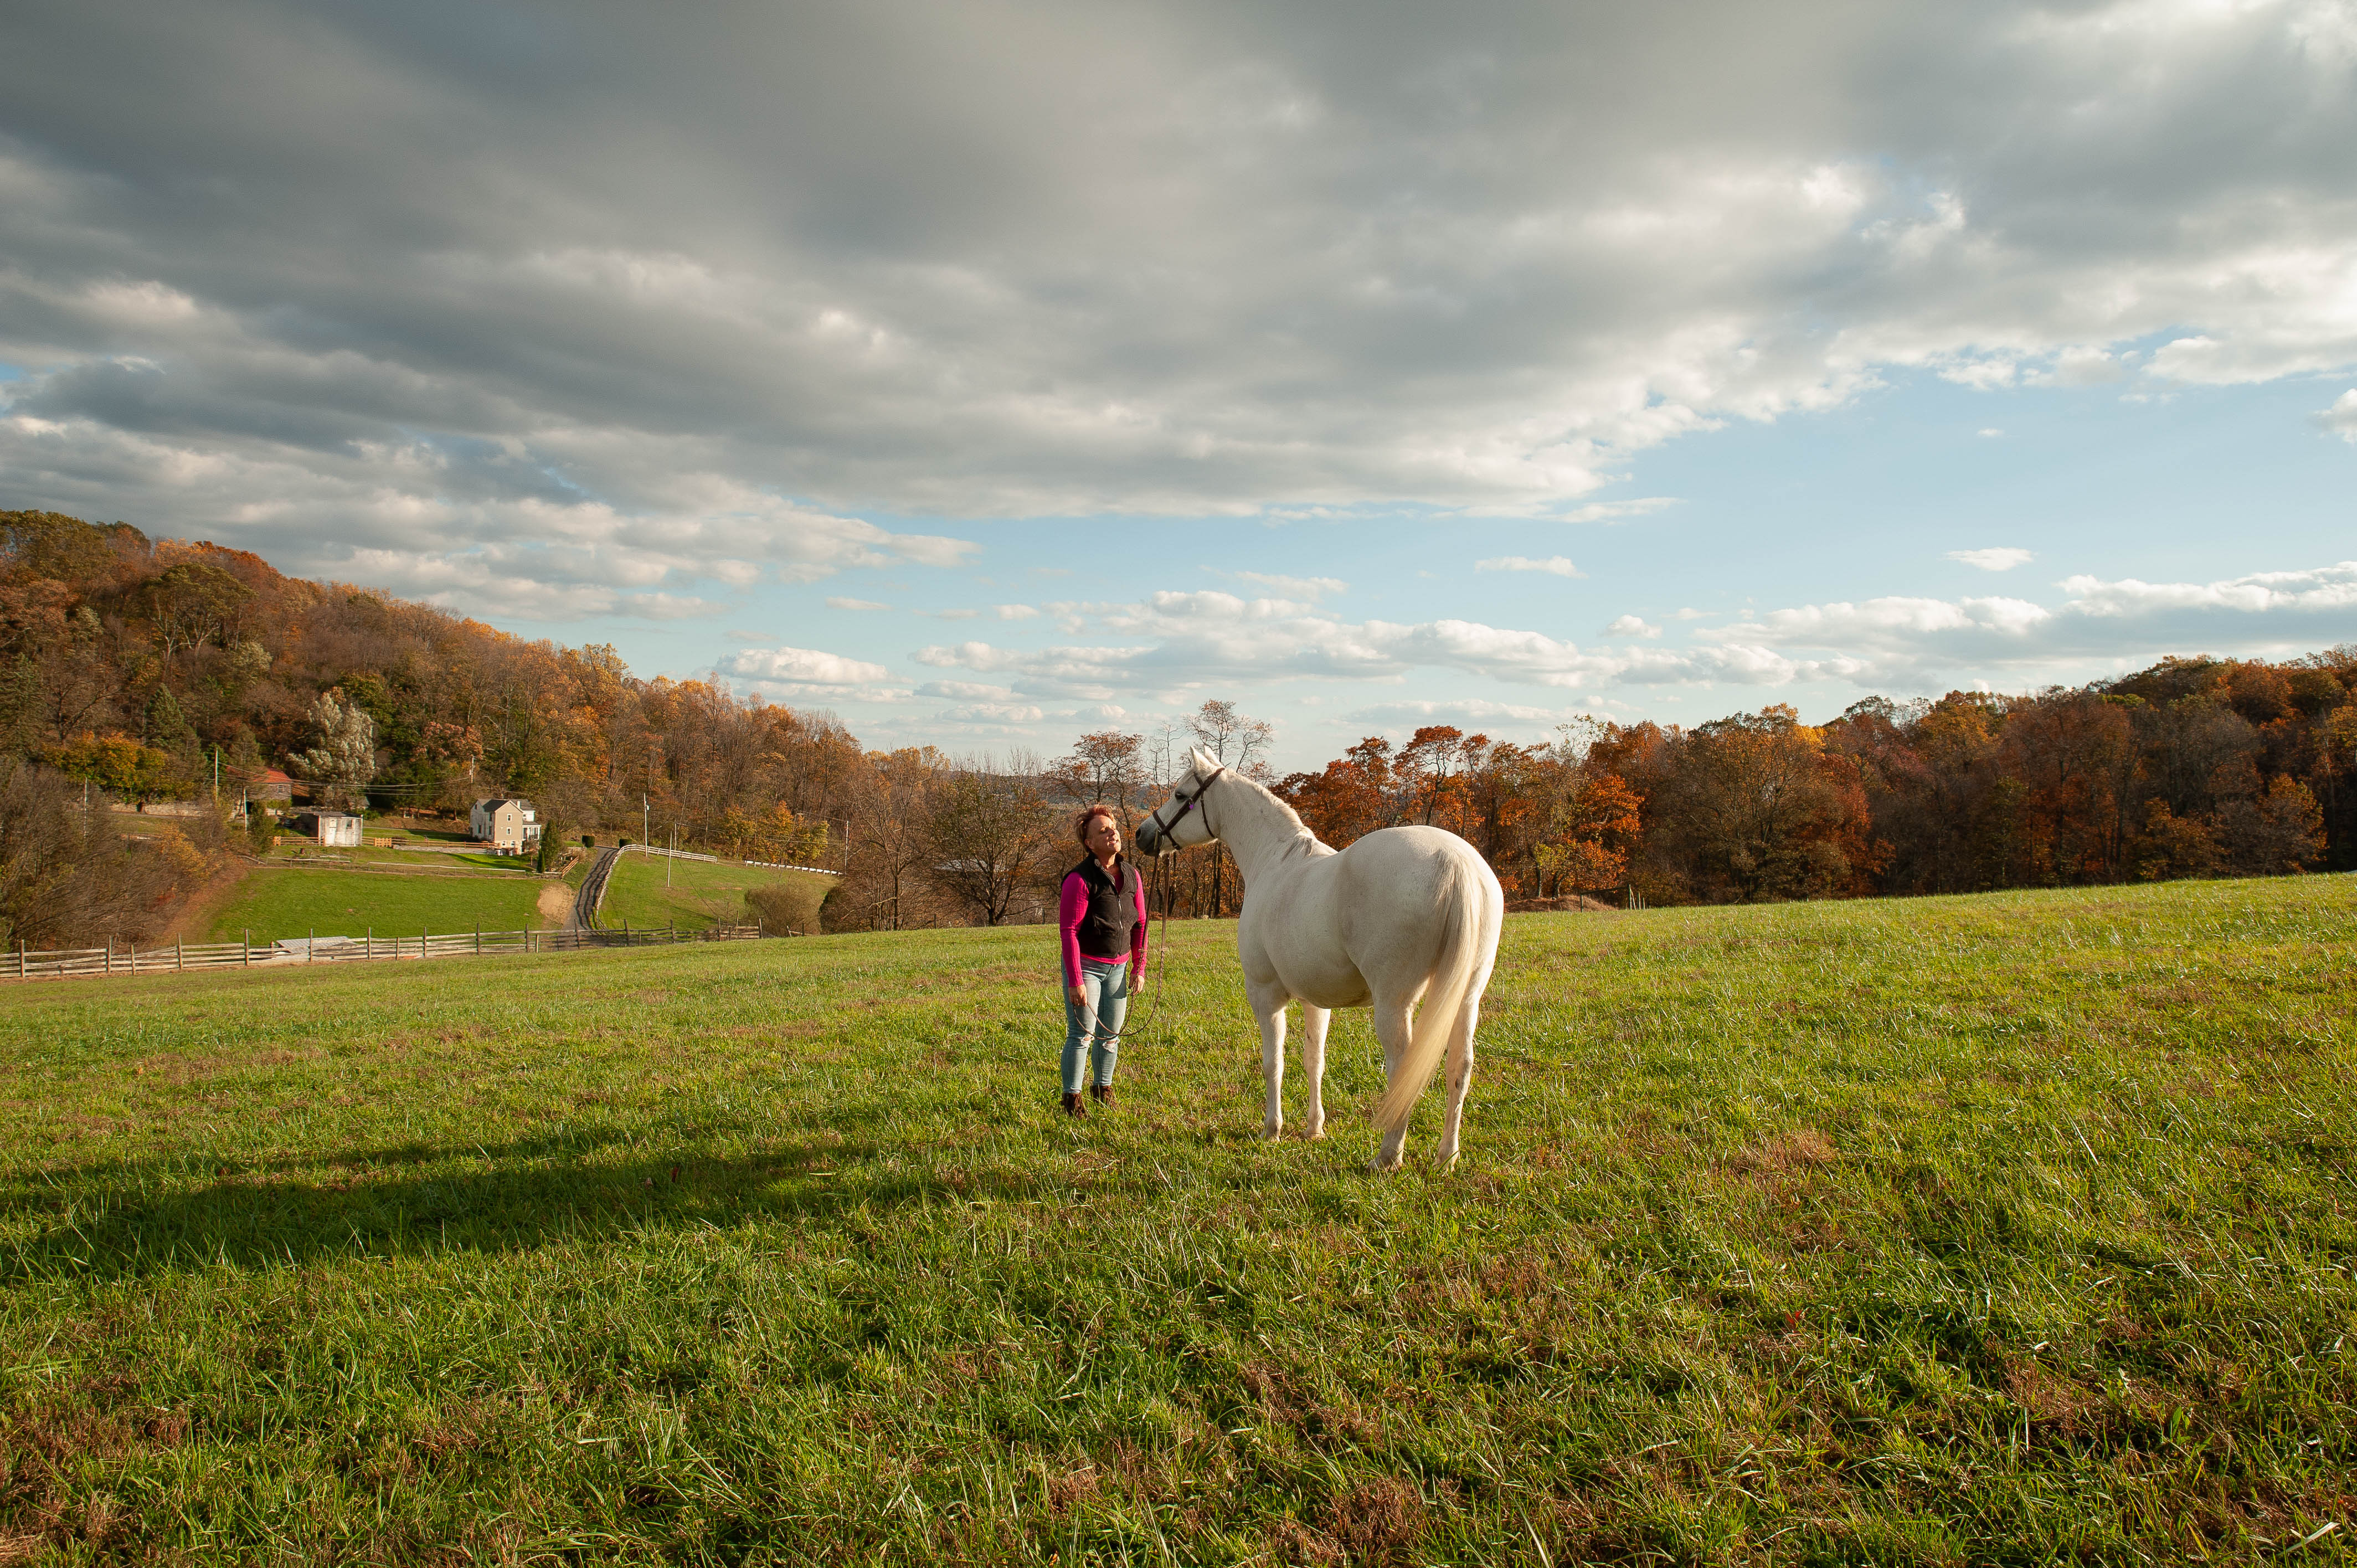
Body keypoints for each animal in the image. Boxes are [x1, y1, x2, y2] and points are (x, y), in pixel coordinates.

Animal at [1136, 747, 1505, 1169]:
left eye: (1181, 795)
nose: (1143, 834)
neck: (1275, 862)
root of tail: (1456, 862)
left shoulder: (1265, 995)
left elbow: (1273, 1063)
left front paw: (1272, 1130)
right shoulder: (1316, 1000)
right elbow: (1315, 1060)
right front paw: (1314, 1129)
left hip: (1395, 1003)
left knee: (1402, 1069)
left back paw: (1388, 1157)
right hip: (1466, 996)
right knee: (1459, 1067)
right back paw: (1447, 1157)